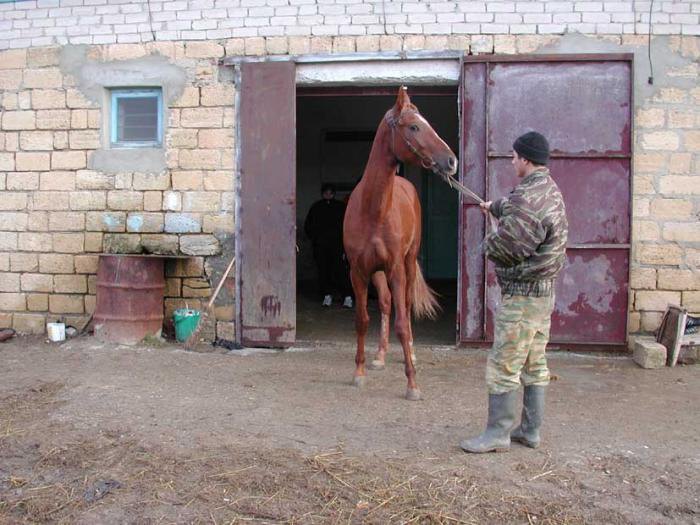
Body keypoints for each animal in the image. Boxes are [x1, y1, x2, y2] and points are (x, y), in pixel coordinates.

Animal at [344, 88, 460, 400]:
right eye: (414, 127)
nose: (451, 161)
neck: (372, 210)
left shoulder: (396, 268)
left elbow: (402, 324)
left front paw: (412, 384)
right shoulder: (358, 272)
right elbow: (362, 320)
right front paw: (359, 372)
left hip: (407, 263)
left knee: (405, 306)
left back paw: (412, 353)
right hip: (378, 272)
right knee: (385, 304)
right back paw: (380, 356)